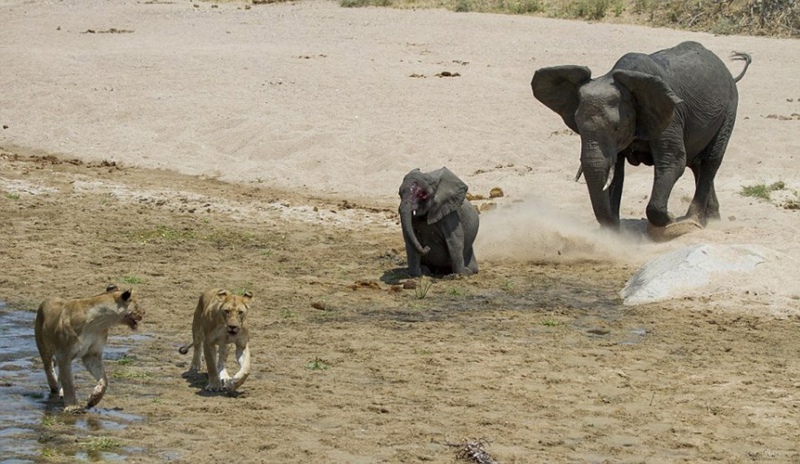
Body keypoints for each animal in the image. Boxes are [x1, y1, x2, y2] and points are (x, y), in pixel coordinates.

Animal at [532, 40, 752, 229]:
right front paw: (613, 230)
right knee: (696, 163)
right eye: (577, 128)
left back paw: (692, 220)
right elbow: (616, 173)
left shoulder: (670, 115)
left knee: (710, 160)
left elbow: (673, 161)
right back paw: (712, 220)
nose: (672, 215)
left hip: (729, 109)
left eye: (616, 127)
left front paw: (670, 220)